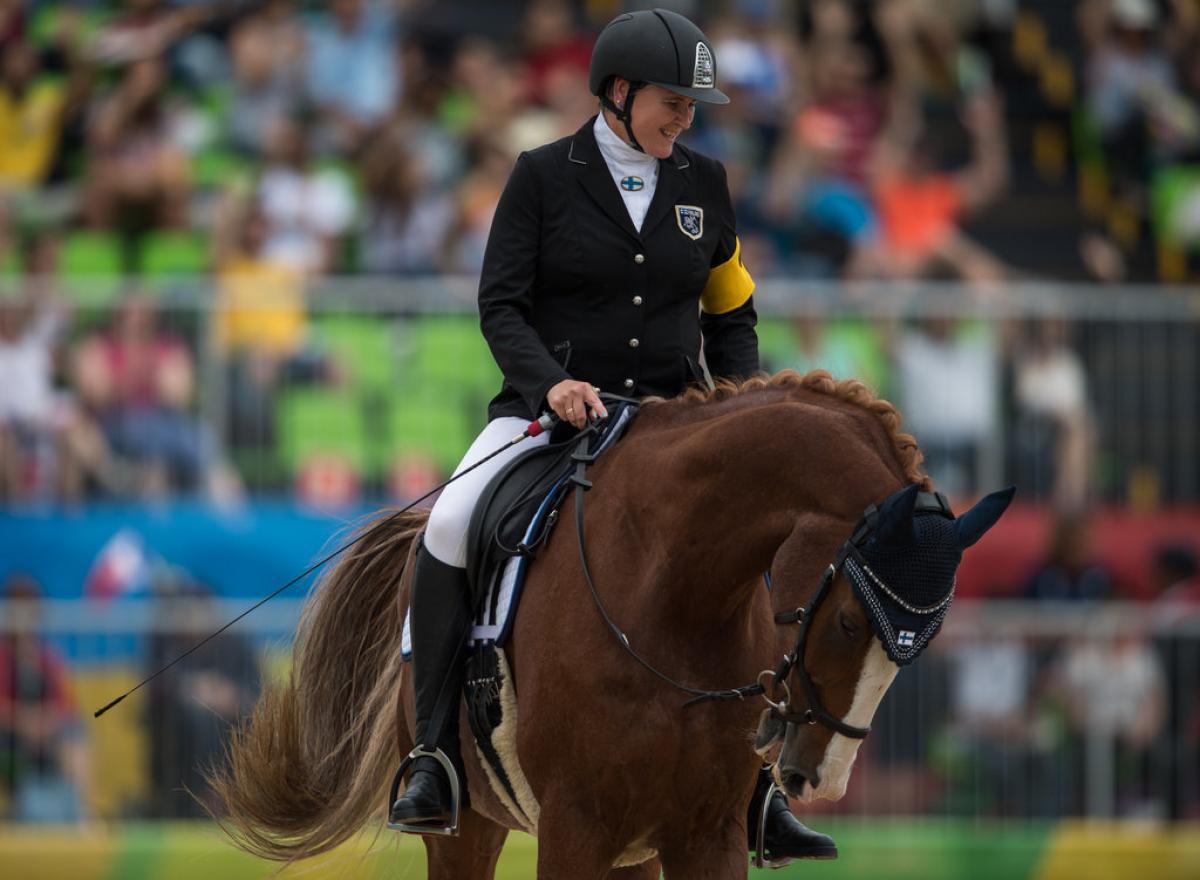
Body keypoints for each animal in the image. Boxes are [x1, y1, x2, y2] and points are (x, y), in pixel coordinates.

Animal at [218, 369, 1012, 878]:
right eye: (848, 621)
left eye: (919, 645)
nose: (818, 778)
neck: (672, 596)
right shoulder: (575, 826)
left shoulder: (706, 833)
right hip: (466, 828)